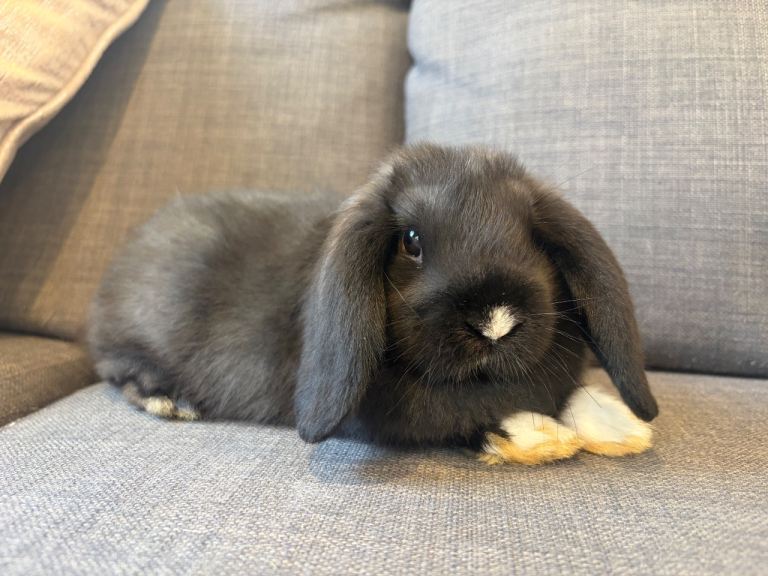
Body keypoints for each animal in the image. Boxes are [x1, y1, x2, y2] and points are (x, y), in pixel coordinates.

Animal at [88, 144, 658, 465]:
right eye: (411, 241)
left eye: (535, 239)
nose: (495, 322)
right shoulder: (383, 410)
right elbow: (454, 410)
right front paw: (537, 436)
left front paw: (619, 423)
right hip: (134, 339)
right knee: (116, 369)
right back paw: (170, 399)